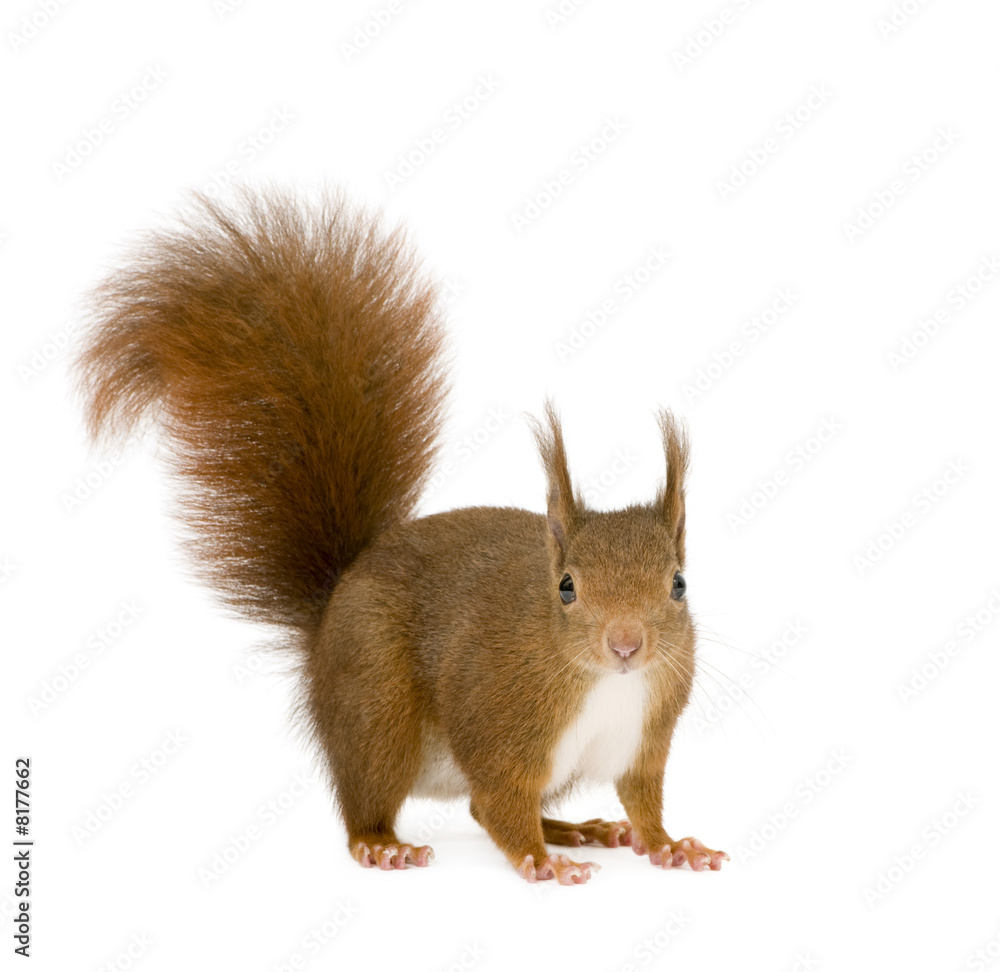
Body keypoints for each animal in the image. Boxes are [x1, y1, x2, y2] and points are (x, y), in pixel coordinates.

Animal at [75, 188, 728, 885]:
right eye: (566, 587)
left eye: (679, 584)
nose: (626, 645)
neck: (607, 683)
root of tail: (327, 619)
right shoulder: (496, 719)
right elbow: (500, 802)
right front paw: (538, 861)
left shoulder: (646, 740)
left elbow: (642, 800)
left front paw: (673, 845)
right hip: (376, 703)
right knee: (387, 796)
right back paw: (386, 843)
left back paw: (575, 828)